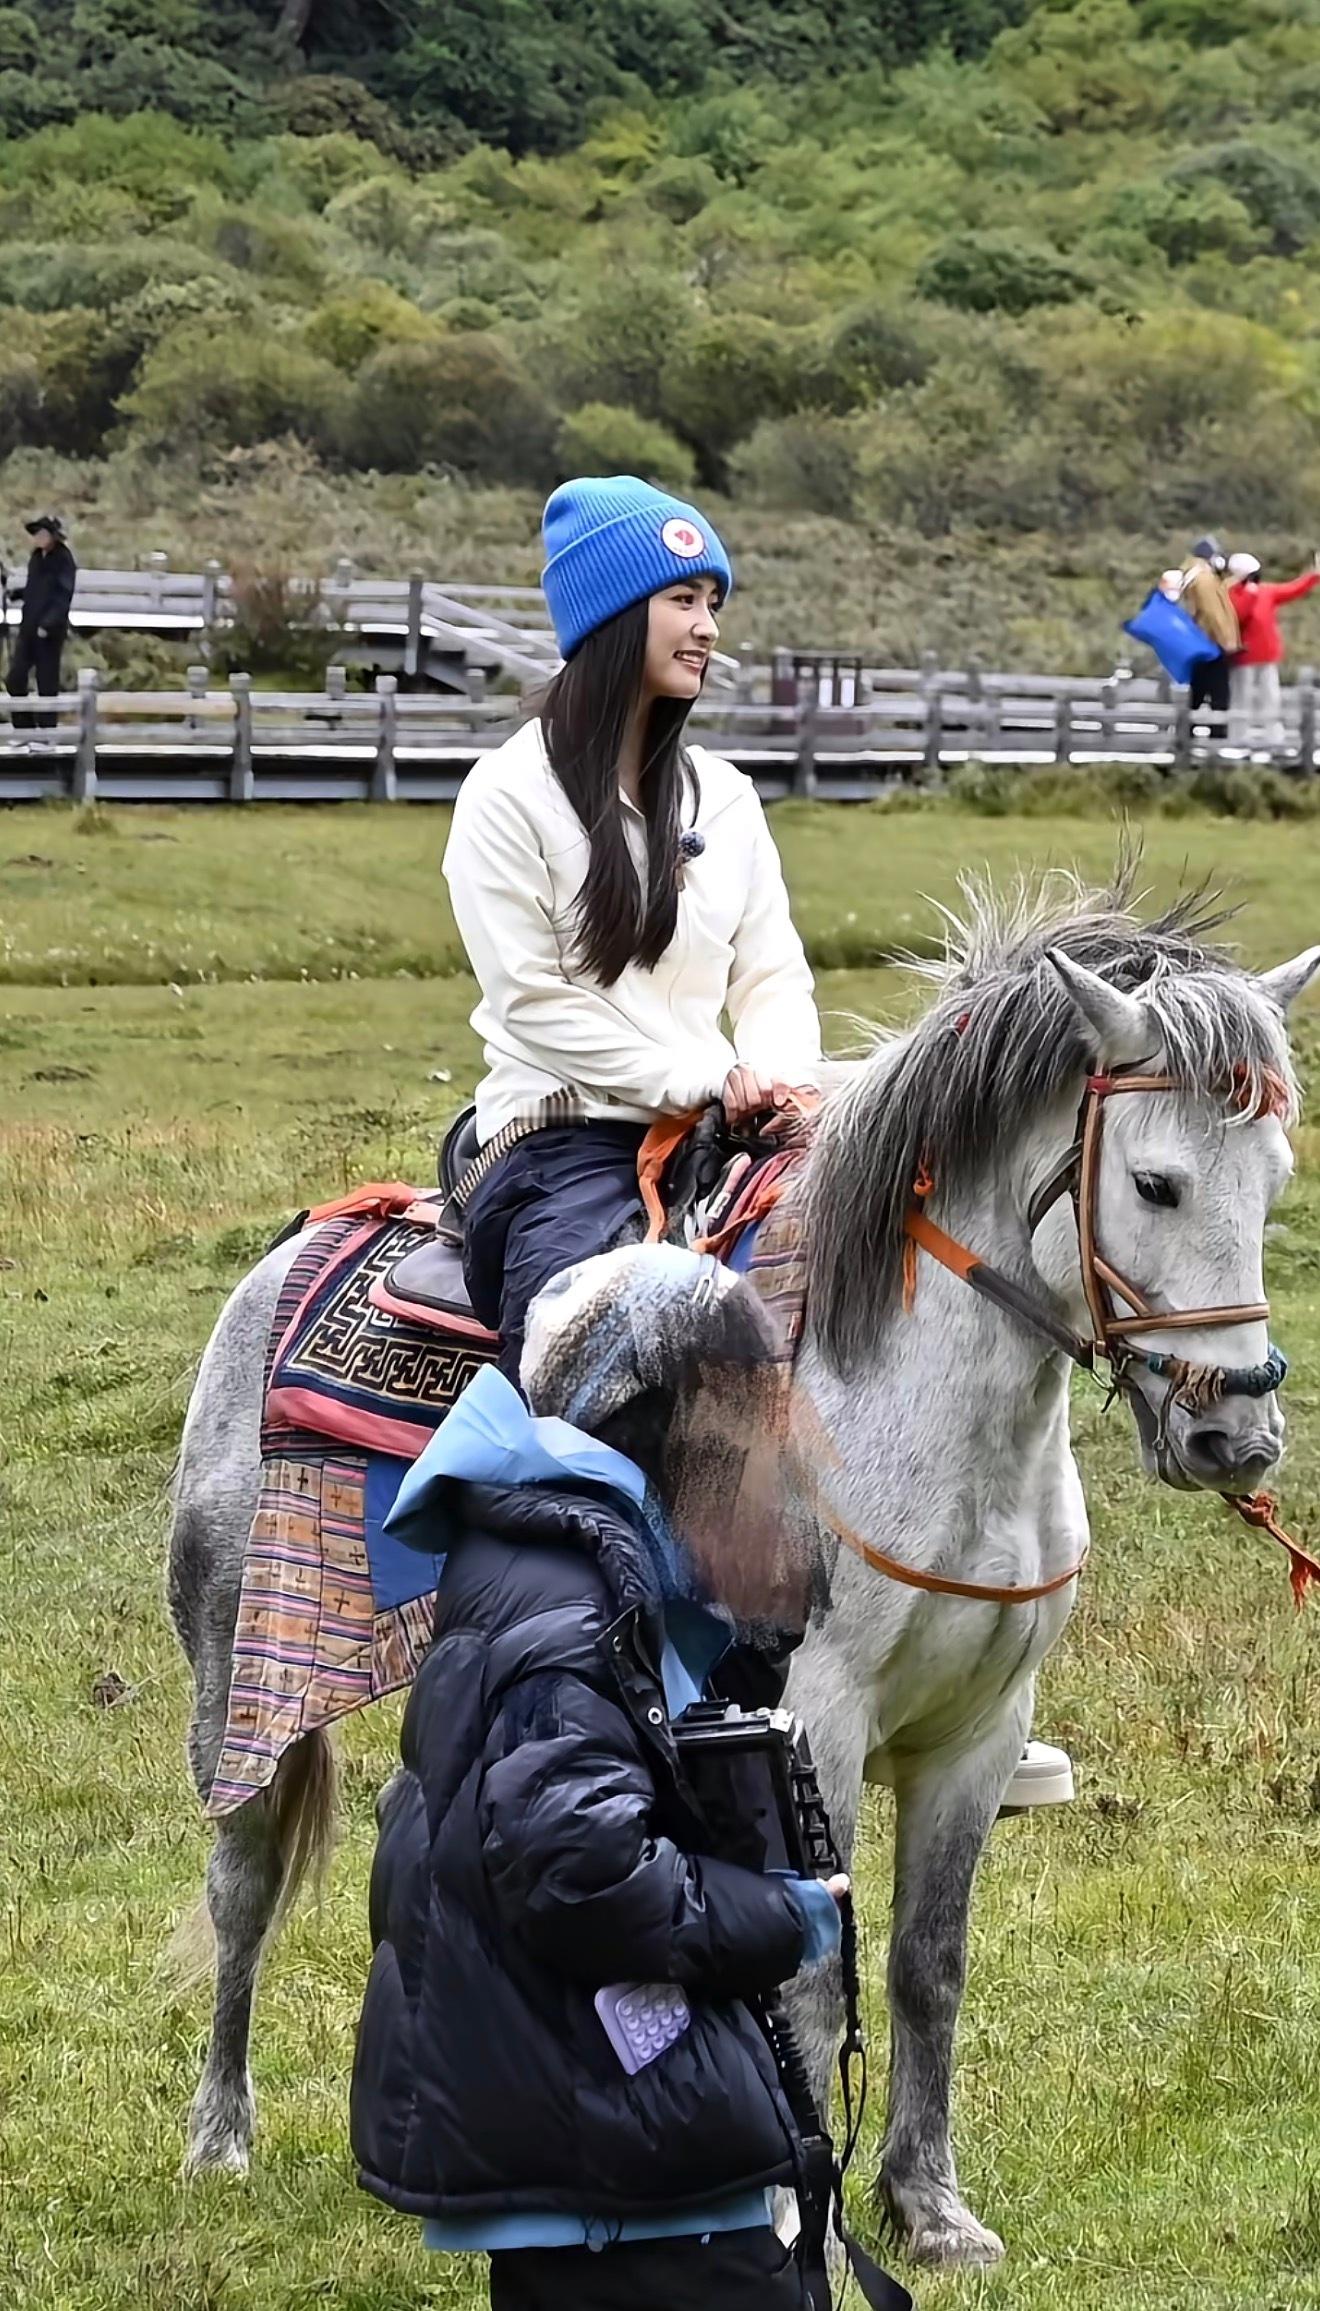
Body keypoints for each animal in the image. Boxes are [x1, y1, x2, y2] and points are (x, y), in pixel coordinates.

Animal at [166, 871, 1318, 2267]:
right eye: (1155, 1183)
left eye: (1274, 1177)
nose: (1234, 1435)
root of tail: (296, 1251)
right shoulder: (812, 1717)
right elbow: (813, 1971)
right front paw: (801, 2215)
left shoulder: (982, 1730)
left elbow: (929, 1967)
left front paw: (929, 2207)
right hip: (240, 1665)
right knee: (241, 1880)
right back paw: (221, 2138)